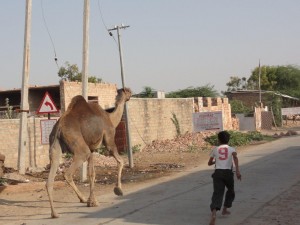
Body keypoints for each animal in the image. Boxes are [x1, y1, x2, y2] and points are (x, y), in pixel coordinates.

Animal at [45, 87, 131, 217]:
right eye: (128, 91)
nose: (131, 94)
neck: (110, 118)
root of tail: (59, 127)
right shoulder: (108, 138)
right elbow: (120, 161)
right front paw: (118, 190)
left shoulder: (91, 149)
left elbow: (91, 173)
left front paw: (92, 201)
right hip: (80, 147)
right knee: (67, 173)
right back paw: (81, 199)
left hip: (54, 145)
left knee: (50, 178)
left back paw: (55, 213)